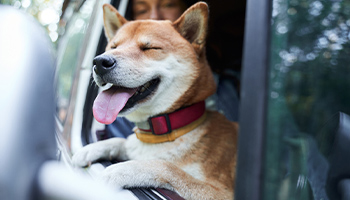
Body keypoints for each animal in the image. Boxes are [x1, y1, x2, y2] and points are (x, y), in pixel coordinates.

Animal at [72, 1, 239, 200]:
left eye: (149, 48)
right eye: (113, 47)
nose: (99, 62)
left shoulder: (221, 192)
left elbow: (165, 165)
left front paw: (119, 170)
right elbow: (122, 141)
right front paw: (91, 149)